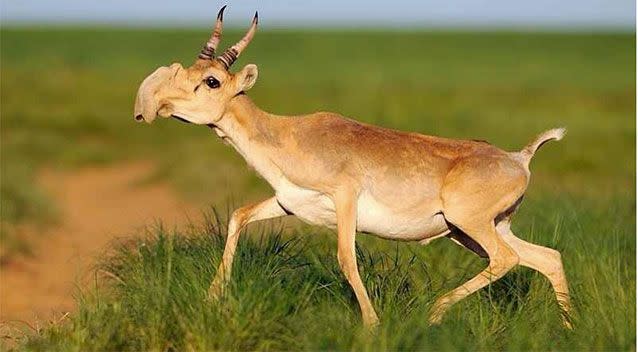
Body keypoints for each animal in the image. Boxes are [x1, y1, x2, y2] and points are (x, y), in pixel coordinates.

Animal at [132, 6, 572, 328]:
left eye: (211, 81)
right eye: (187, 71)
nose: (155, 105)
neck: (288, 134)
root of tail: (519, 158)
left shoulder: (345, 199)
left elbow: (346, 257)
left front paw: (373, 326)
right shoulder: (288, 203)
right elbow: (238, 216)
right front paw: (212, 298)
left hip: (469, 225)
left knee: (507, 260)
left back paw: (434, 312)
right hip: (476, 230)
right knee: (546, 257)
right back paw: (568, 329)